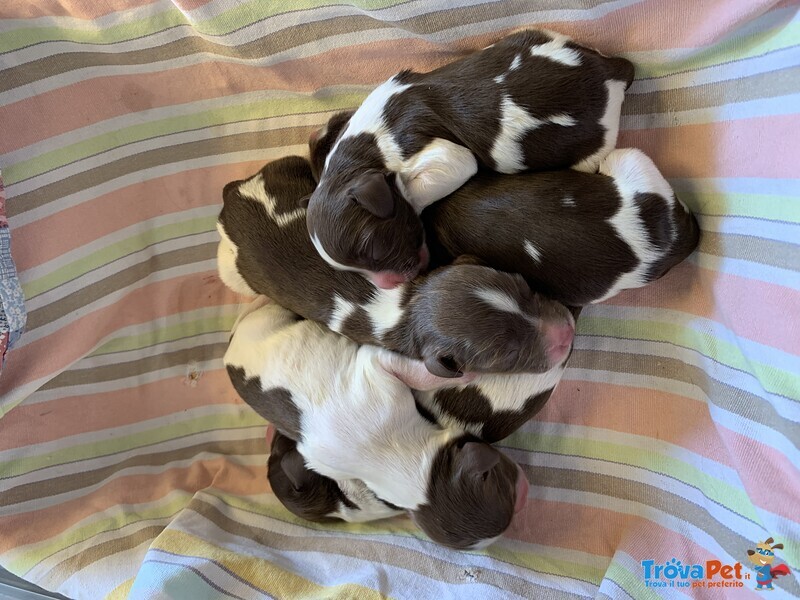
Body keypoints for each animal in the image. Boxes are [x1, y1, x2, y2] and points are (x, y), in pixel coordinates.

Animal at [219, 157, 576, 378]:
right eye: (508, 355)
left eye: (525, 287)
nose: (568, 334)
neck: (408, 305)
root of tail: (231, 194)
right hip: (237, 272)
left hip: (284, 166)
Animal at [223, 298, 532, 552]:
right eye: (503, 478)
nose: (525, 495)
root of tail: (229, 352)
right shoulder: (382, 371)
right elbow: (415, 372)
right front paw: (466, 375)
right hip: (268, 321)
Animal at [304, 28, 636, 288]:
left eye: (373, 247)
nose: (391, 284)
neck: (364, 150)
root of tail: (610, 73)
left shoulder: (443, 156)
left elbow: (420, 186)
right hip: (534, 36)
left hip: (590, 151)